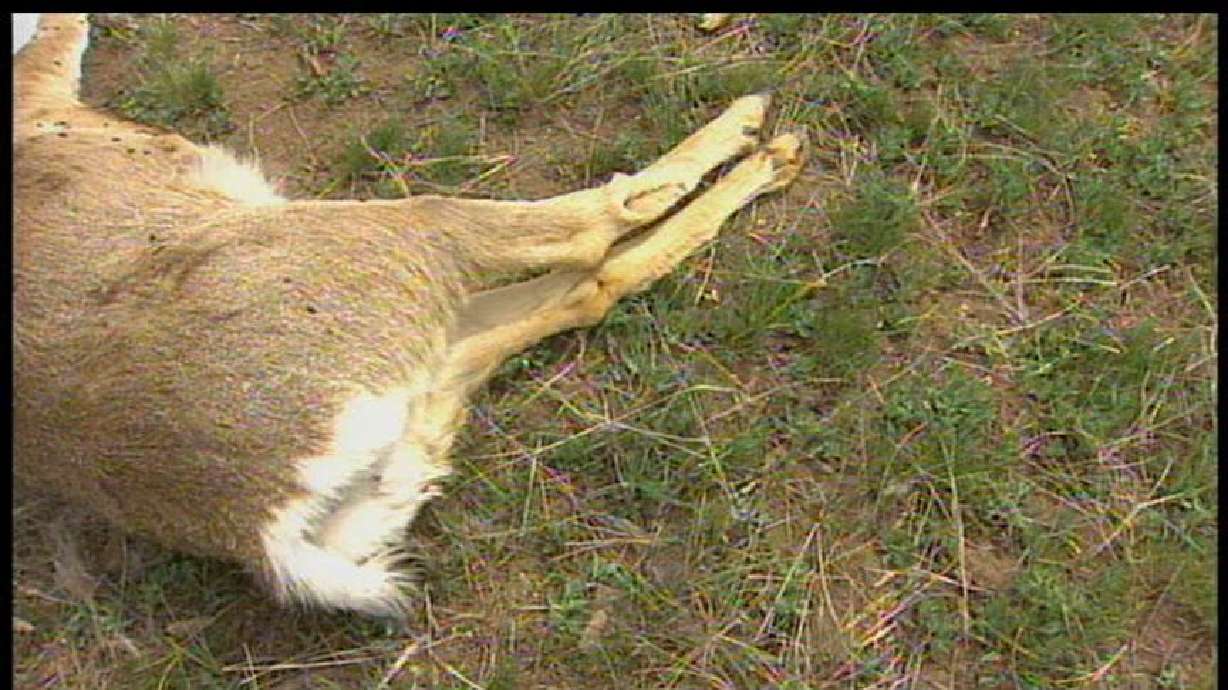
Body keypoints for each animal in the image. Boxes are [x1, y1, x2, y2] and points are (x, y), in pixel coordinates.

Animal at [13, 13, 806, 619]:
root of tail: (262, 533)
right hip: (388, 244)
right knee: (593, 225)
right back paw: (757, 134)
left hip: (414, 381)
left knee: (579, 289)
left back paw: (766, 148)